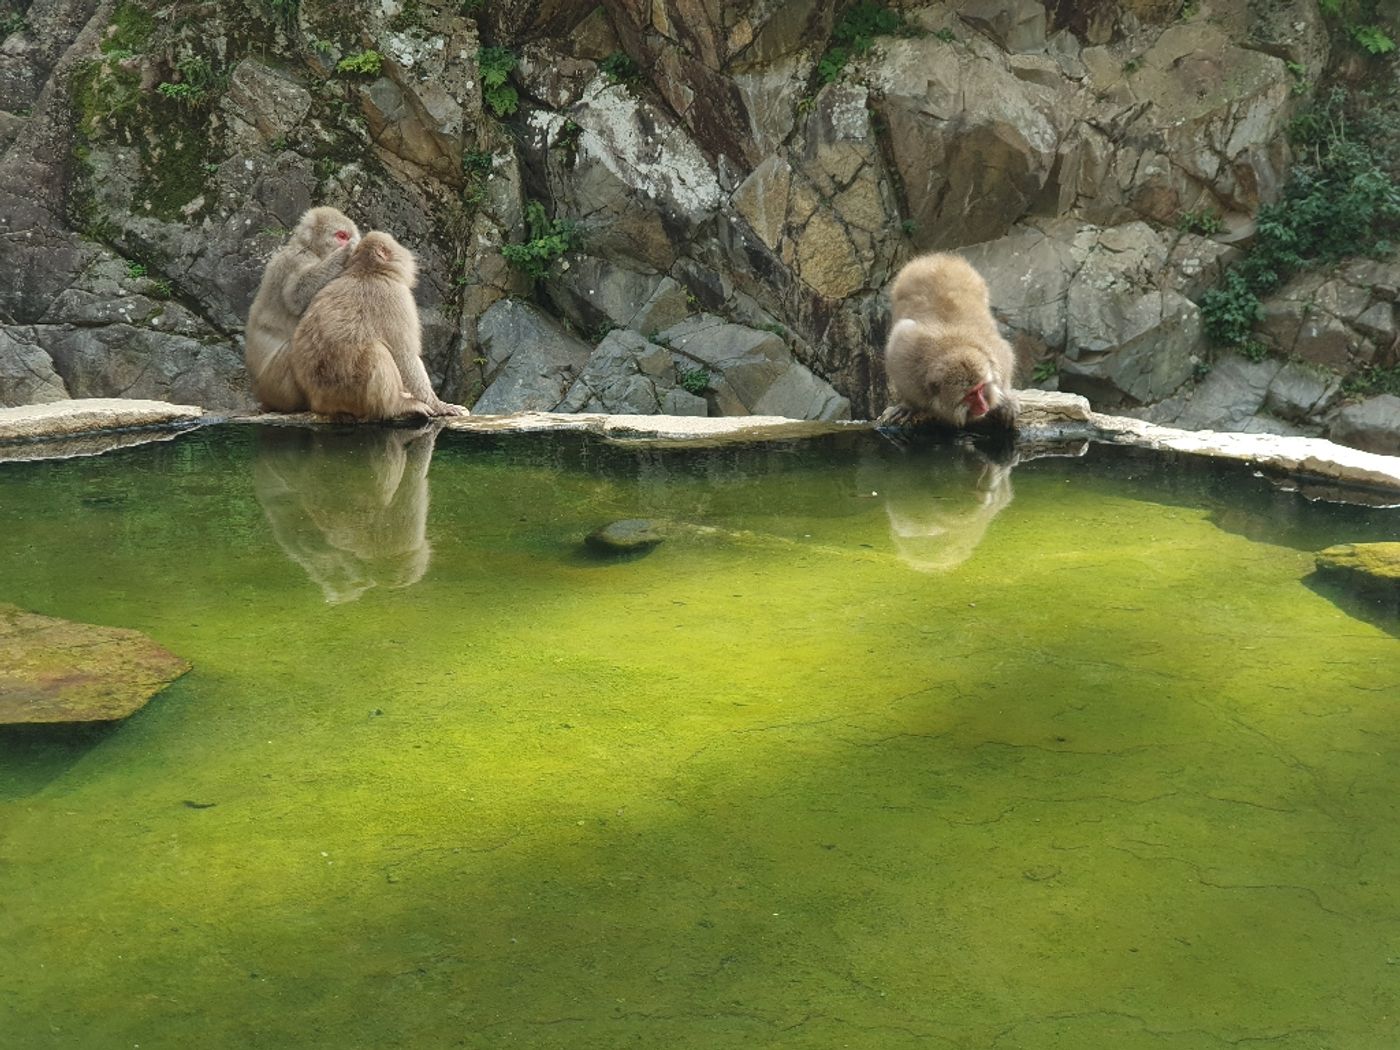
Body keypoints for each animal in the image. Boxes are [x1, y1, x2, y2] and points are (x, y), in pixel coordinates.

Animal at [245, 207, 361, 414]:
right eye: (341, 236)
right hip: (278, 386)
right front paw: (345, 253)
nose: (348, 242)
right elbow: (296, 296)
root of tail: (260, 394)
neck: (311, 249)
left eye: (348, 235)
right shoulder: (297, 259)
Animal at [287, 231, 467, 422]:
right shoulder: (396, 297)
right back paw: (397, 406)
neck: (367, 271)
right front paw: (439, 404)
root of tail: (318, 402)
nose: (407, 250)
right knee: (376, 351)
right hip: (349, 393)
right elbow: (405, 356)